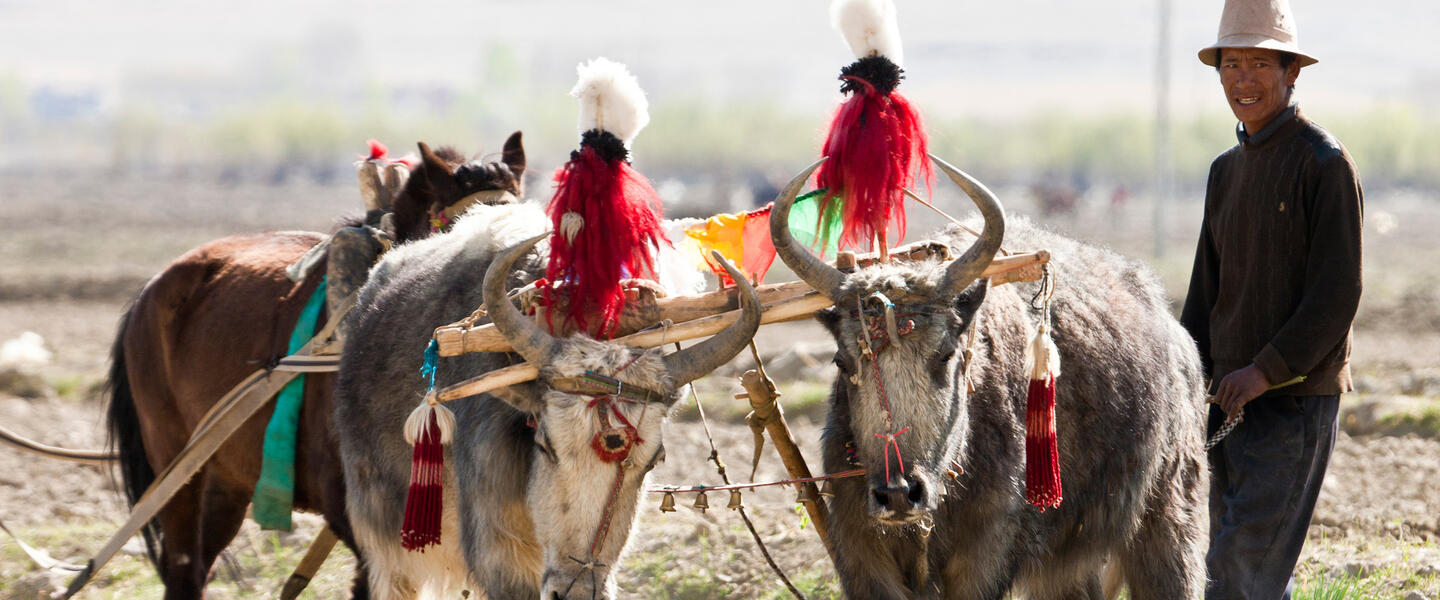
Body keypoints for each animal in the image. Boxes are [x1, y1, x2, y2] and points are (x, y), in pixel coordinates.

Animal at [102, 133, 529, 595]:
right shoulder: (363, 523)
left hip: (226, 475)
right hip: (177, 468)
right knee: (183, 565)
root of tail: (152, 289)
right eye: (459, 228)